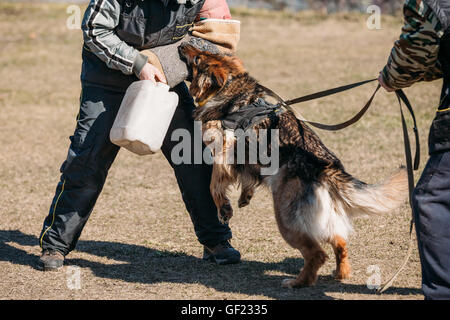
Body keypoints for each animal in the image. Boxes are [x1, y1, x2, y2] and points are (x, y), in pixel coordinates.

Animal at [179, 43, 408, 288]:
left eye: (198, 59)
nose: (182, 44)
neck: (232, 90)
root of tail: (328, 167)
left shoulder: (224, 154)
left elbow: (214, 185)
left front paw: (224, 208)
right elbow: (248, 178)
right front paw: (244, 197)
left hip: (286, 220)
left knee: (317, 254)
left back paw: (298, 282)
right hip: (322, 220)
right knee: (340, 243)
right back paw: (340, 274)